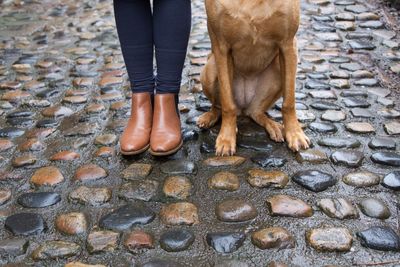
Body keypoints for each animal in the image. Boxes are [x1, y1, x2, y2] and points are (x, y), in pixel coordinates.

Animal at [198, 0, 310, 157]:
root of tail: (243, 109)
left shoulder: (288, 45)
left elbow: (289, 102)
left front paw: (295, 134)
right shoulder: (221, 48)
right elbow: (227, 105)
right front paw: (226, 138)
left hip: (277, 67)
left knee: (256, 113)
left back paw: (273, 126)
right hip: (209, 69)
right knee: (218, 106)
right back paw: (210, 118)